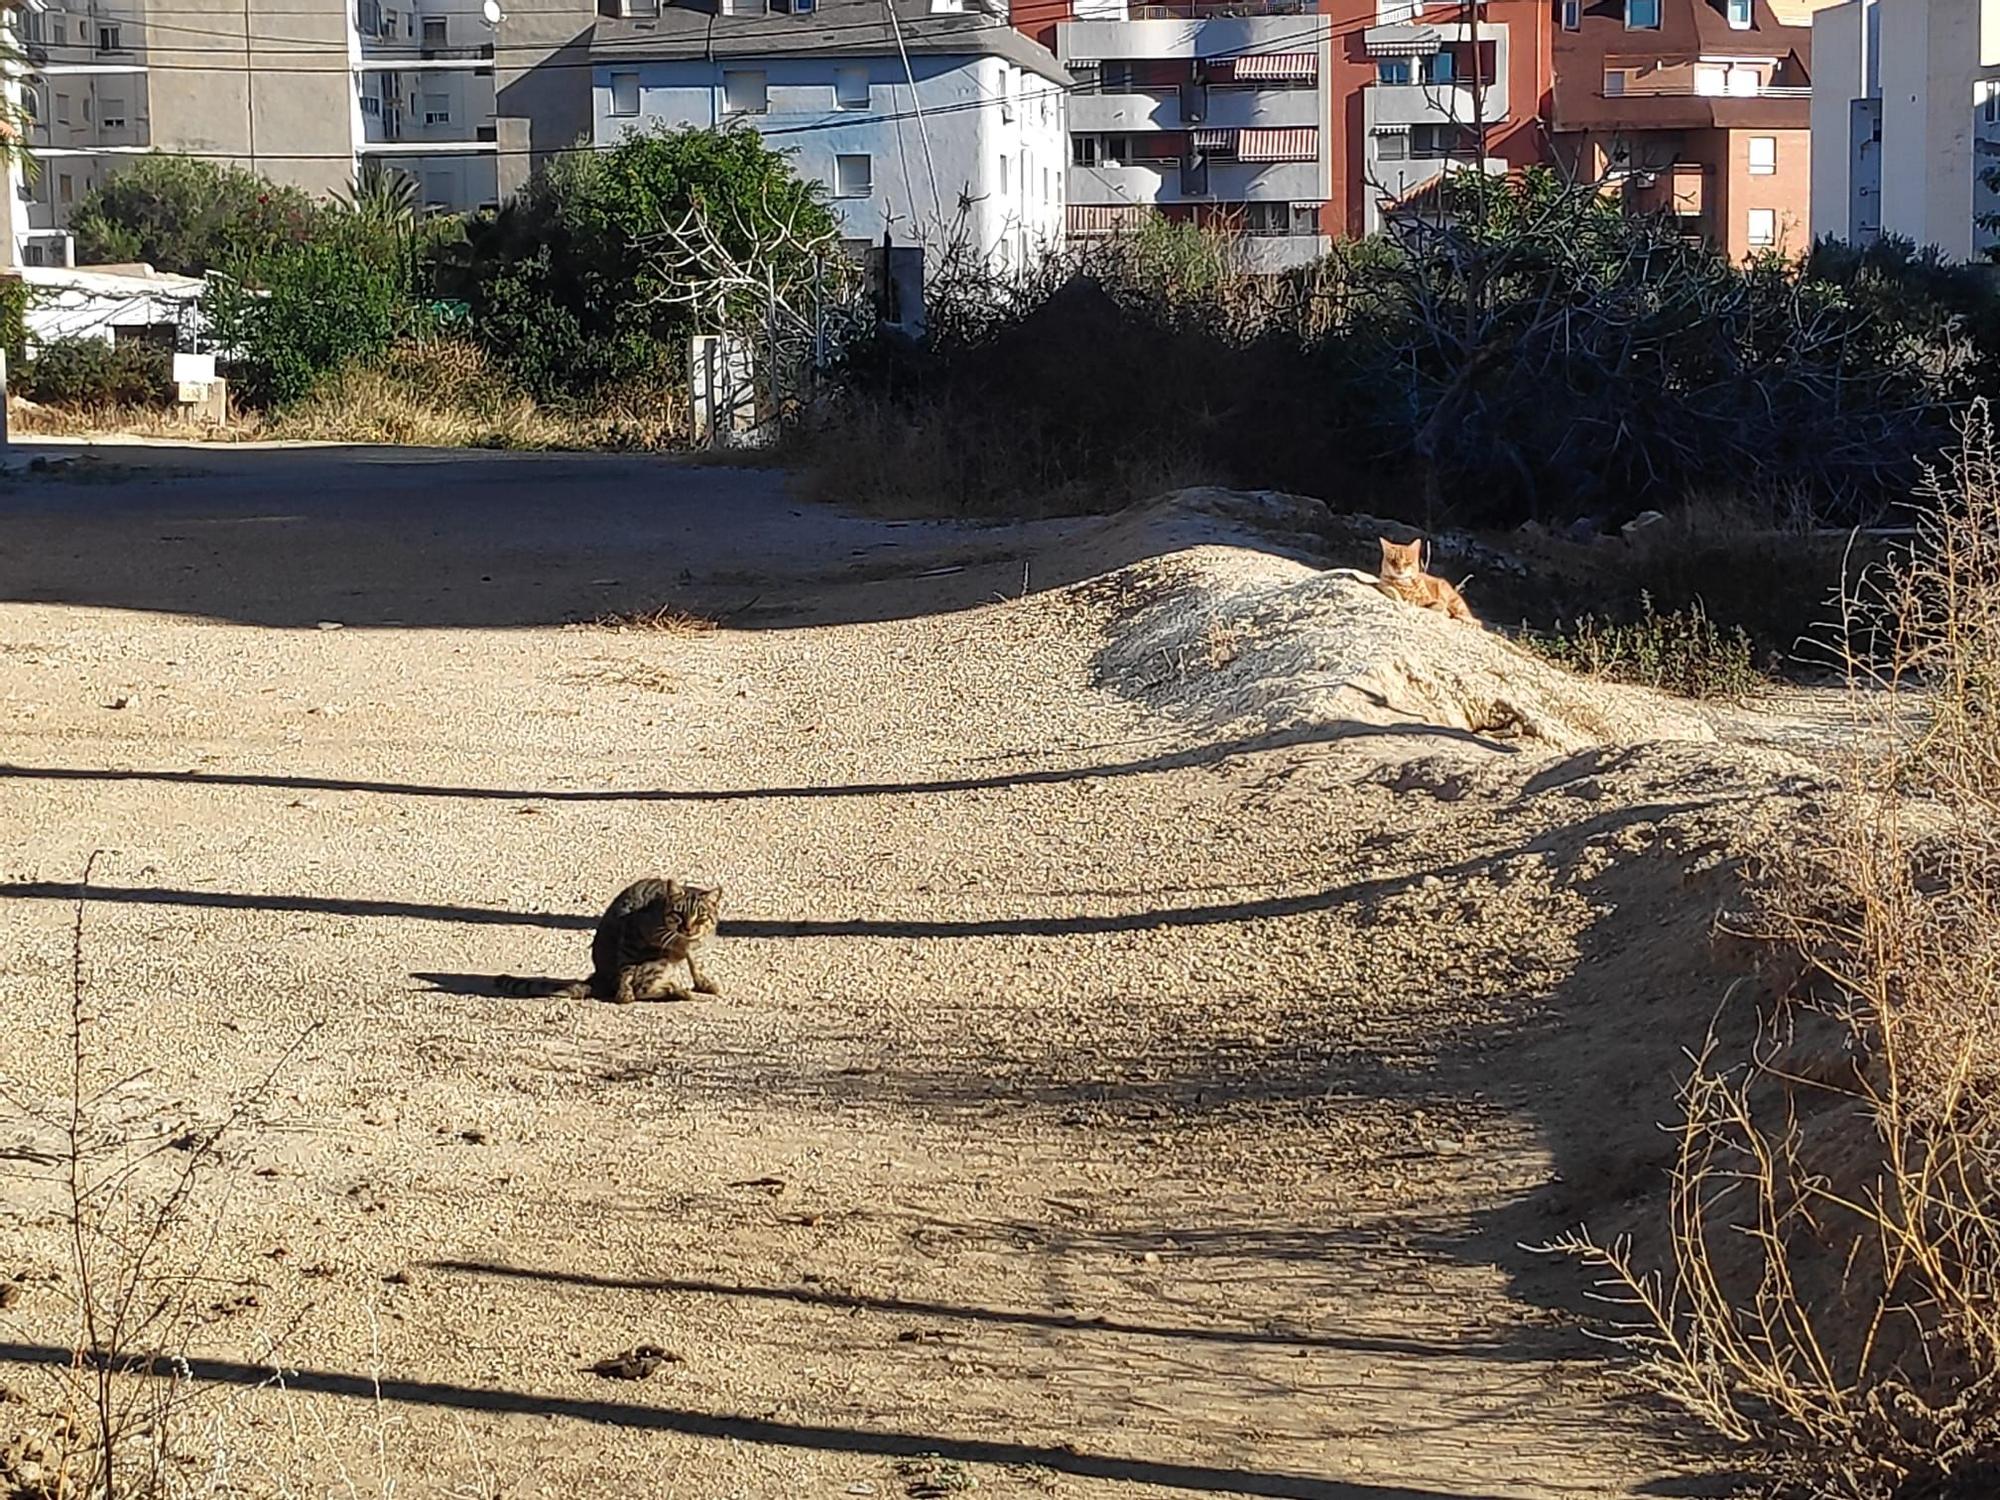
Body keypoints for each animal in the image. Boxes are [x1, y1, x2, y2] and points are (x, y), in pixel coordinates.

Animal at [500, 880, 728, 1012]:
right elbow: (627, 976)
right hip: (656, 958)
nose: (688, 928)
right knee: (642, 987)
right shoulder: (632, 932)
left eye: (700, 917)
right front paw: (625, 994)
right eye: (679, 914)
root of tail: (597, 975)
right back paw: (679, 991)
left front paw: (705, 983)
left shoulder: (695, 947)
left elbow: (697, 965)